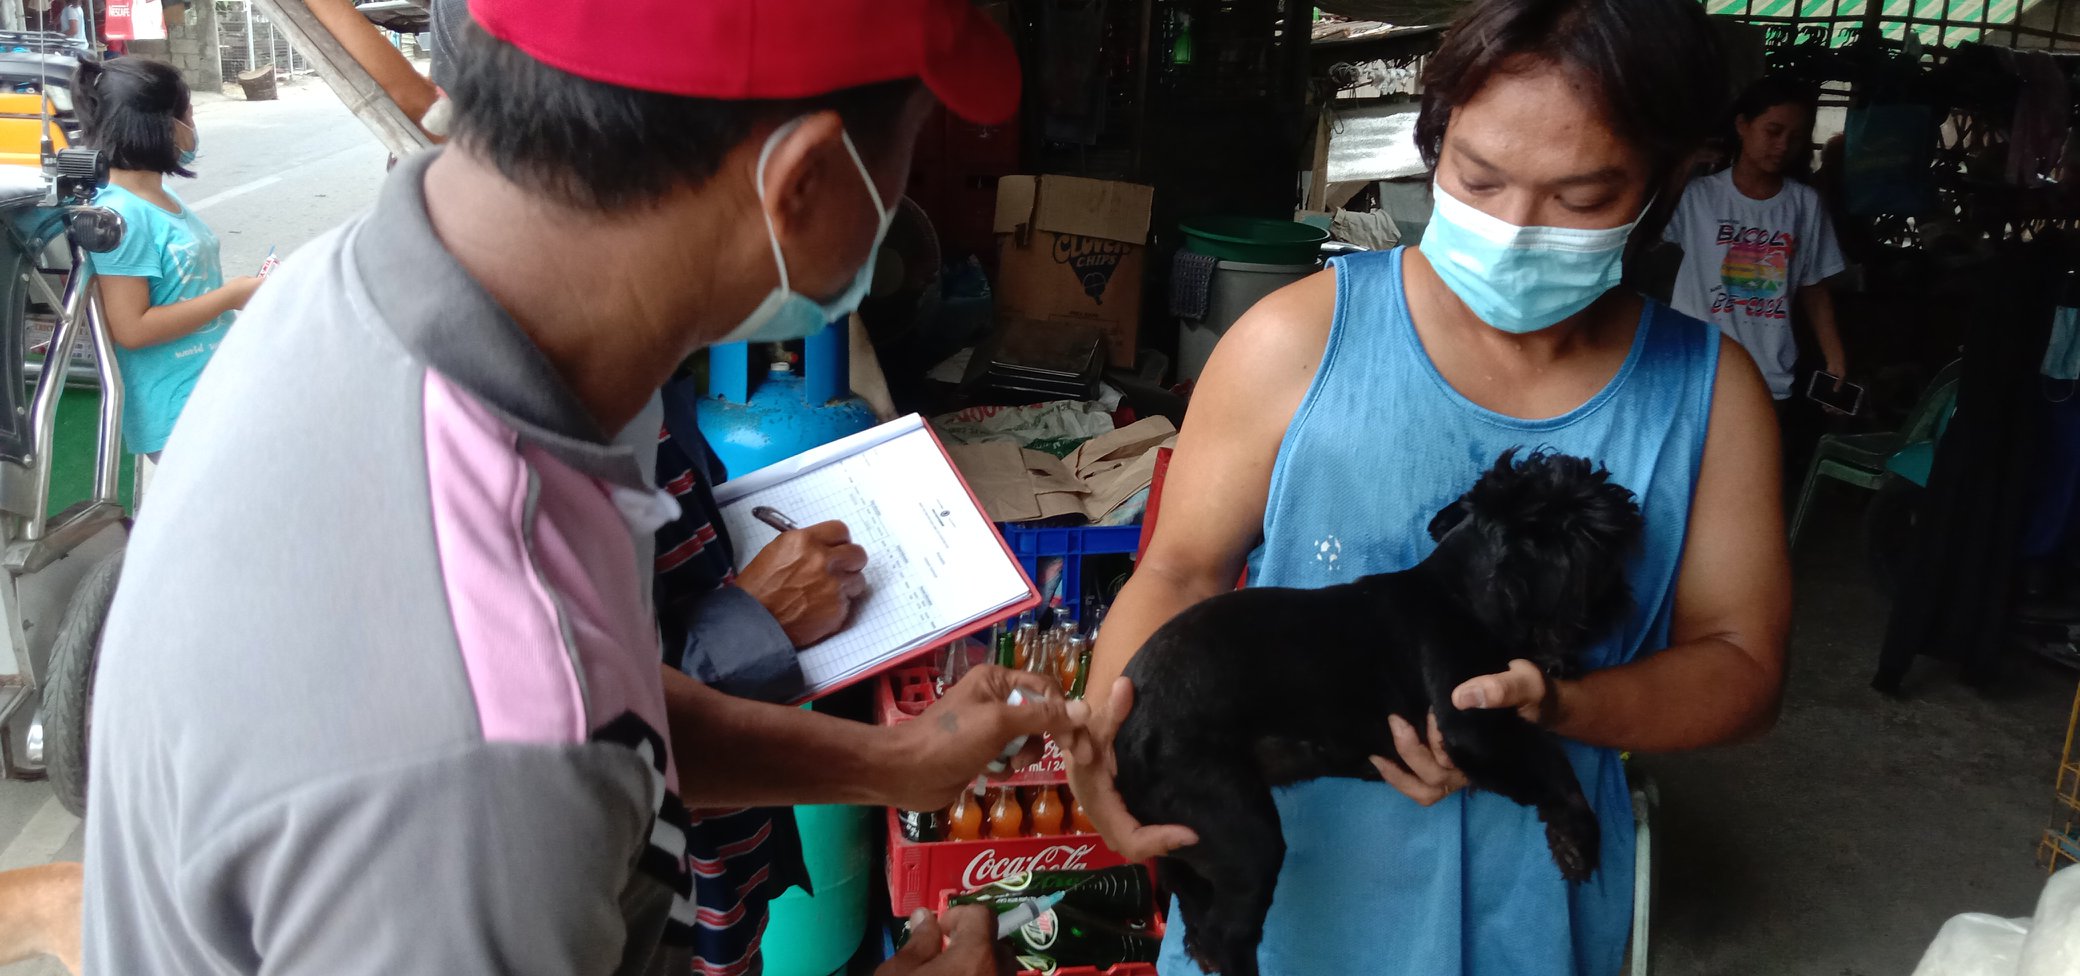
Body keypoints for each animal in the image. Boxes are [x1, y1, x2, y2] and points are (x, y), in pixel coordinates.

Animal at [1114, 449, 1647, 973]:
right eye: (1598, 541)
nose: (1627, 595)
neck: (1460, 593)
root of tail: (1126, 737)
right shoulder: (1473, 726)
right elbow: (1552, 762)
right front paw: (1578, 836)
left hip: (1189, 843)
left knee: (1195, 911)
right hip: (1246, 838)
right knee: (1227, 934)